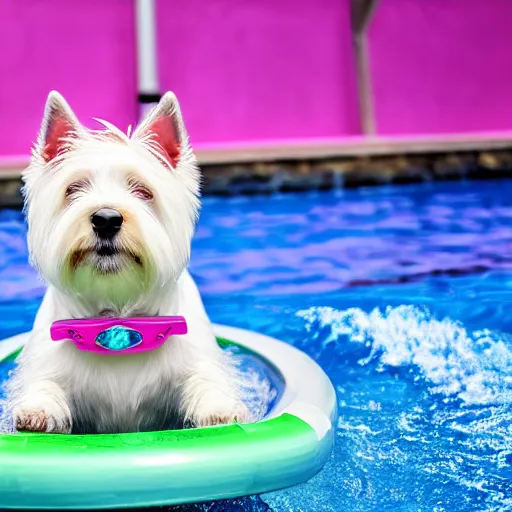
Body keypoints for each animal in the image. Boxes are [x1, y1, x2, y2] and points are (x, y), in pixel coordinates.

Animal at [6, 91, 250, 432]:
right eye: (73, 189)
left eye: (143, 191)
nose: (106, 219)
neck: (118, 315)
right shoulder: (48, 361)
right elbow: (44, 383)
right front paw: (38, 409)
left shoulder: (194, 358)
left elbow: (205, 378)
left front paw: (219, 407)